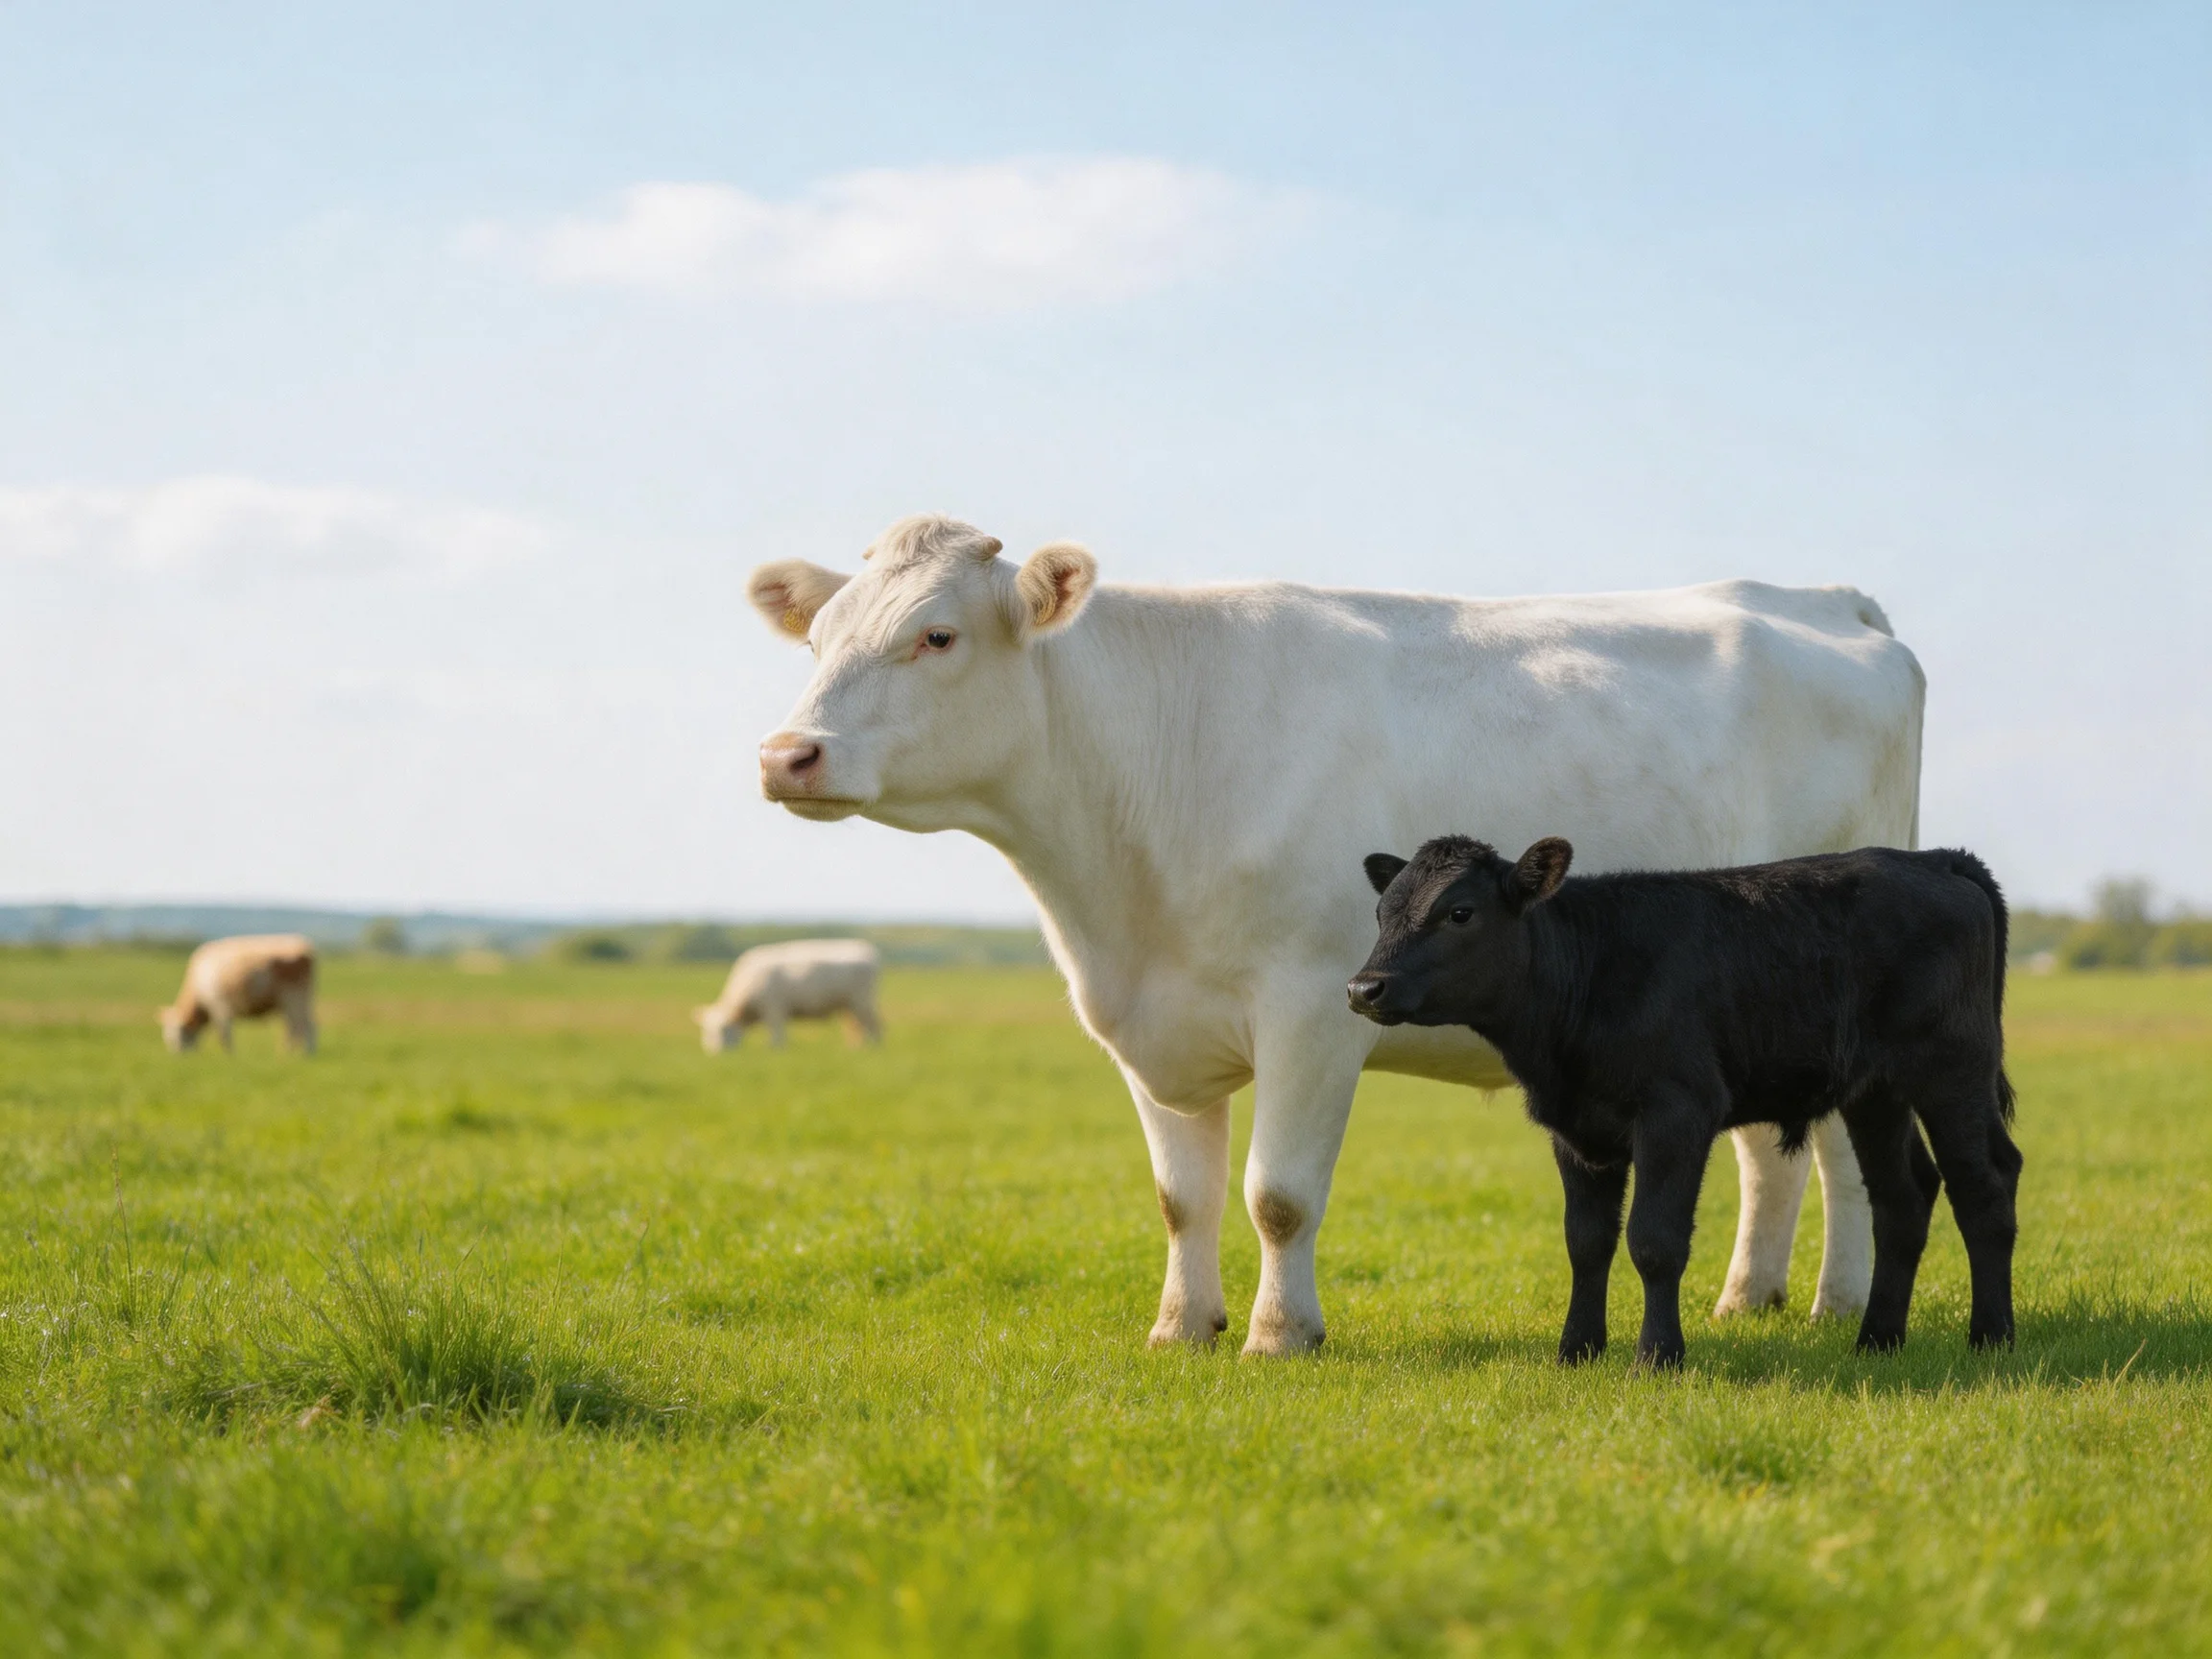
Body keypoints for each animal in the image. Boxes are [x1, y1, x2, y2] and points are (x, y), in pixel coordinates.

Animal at [158, 934, 317, 1055]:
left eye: (176, 1035)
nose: (177, 1055)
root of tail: (304, 946)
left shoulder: (220, 1006)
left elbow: (224, 1034)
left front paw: (229, 1056)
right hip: (294, 1001)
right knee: (298, 1026)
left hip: (294, 998)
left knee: (303, 1025)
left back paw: (303, 1054)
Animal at [693, 938, 883, 1052]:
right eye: (705, 1030)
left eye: (724, 1030)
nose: (714, 1052)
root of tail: (867, 949)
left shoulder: (774, 1008)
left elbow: (777, 1034)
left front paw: (776, 1051)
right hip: (849, 1005)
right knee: (856, 1028)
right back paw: (855, 1049)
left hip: (862, 1001)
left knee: (874, 1025)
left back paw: (873, 1050)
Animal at [747, 514, 1925, 1354]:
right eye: (818, 639)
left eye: (935, 635)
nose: (787, 753)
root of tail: (1828, 601)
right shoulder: (1150, 1025)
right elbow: (1182, 1199)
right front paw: (1181, 1328)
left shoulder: (1313, 1011)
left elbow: (1276, 1197)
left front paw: (1279, 1334)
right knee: (1775, 1157)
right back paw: (1749, 1299)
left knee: (1845, 1160)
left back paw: (1838, 1309)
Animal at [1347, 837, 2020, 1364]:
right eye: (1381, 913)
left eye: (1460, 912)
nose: (1363, 987)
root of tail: (1936, 859)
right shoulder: (1574, 1128)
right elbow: (1585, 1240)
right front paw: (1576, 1351)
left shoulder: (1677, 1112)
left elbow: (1655, 1239)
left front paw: (1658, 1356)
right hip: (1876, 1091)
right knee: (1903, 1195)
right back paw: (1877, 1339)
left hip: (1954, 1070)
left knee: (1984, 1183)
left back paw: (1990, 1337)